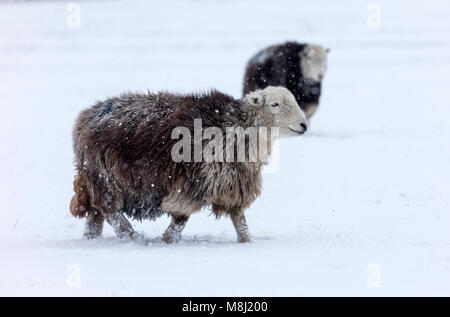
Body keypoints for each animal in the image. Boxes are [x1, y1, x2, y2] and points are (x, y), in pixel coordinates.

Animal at [70, 86, 308, 242]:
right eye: (275, 104)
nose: (304, 124)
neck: (240, 126)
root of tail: (85, 117)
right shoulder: (192, 182)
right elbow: (181, 219)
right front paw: (168, 239)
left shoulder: (232, 184)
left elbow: (240, 221)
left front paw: (246, 242)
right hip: (104, 175)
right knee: (109, 209)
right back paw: (128, 236)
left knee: (95, 215)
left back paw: (92, 238)